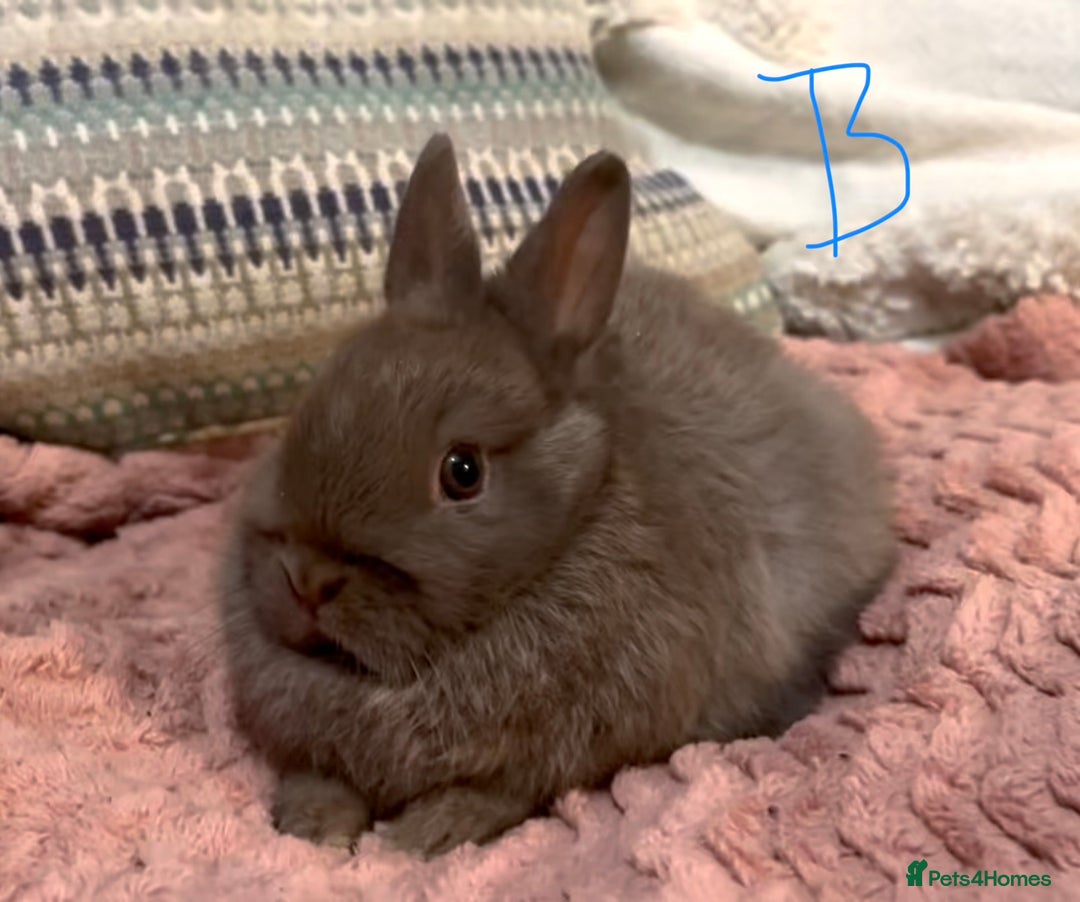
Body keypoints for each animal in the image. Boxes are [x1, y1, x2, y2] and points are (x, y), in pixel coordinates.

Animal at [219, 132, 897, 859]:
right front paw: (312, 825)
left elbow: (502, 793)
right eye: (311, 404)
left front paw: (424, 835)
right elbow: (320, 773)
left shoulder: (566, 753)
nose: (309, 581)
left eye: (463, 471)